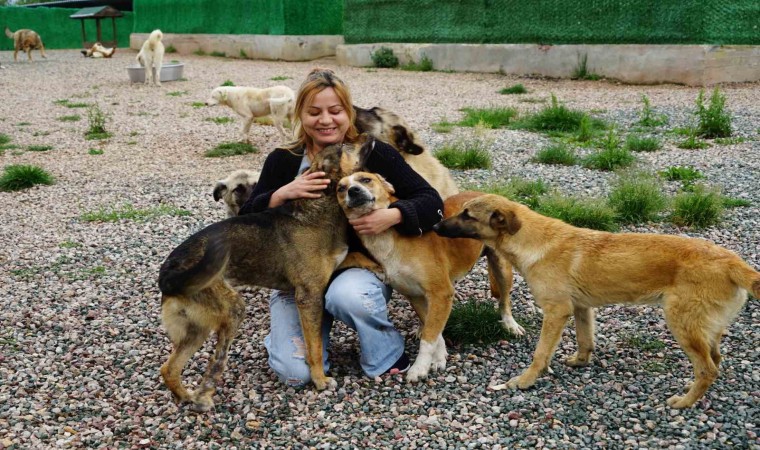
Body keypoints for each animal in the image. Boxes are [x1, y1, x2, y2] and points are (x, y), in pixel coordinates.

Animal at [157, 141, 368, 412]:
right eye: (345, 147)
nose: (369, 136)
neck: (320, 205)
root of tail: (167, 272)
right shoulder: (308, 297)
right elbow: (314, 346)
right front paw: (320, 380)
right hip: (232, 310)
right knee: (215, 362)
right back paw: (203, 396)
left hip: (197, 327)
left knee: (169, 368)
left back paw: (187, 397)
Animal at [338, 172, 524, 384]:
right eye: (340, 188)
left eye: (365, 179)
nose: (353, 191)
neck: (386, 238)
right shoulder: (417, 296)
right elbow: (433, 329)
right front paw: (438, 356)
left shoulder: (440, 292)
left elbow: (430, 335)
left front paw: (420, 367)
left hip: (502, 268)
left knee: (504, 300)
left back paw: (510, 324)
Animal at [434, 193, 760, 408]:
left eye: (467, 215)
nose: (435, 227)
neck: (532, 240)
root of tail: (733, 263)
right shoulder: (581, 308)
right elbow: (585, 340)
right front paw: (580, 362)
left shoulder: (556, 311)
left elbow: (540, 354)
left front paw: (525, 381)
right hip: (704, 329)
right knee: (716, 361)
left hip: (682, 324)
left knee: (707, 369)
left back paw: (683, 402)